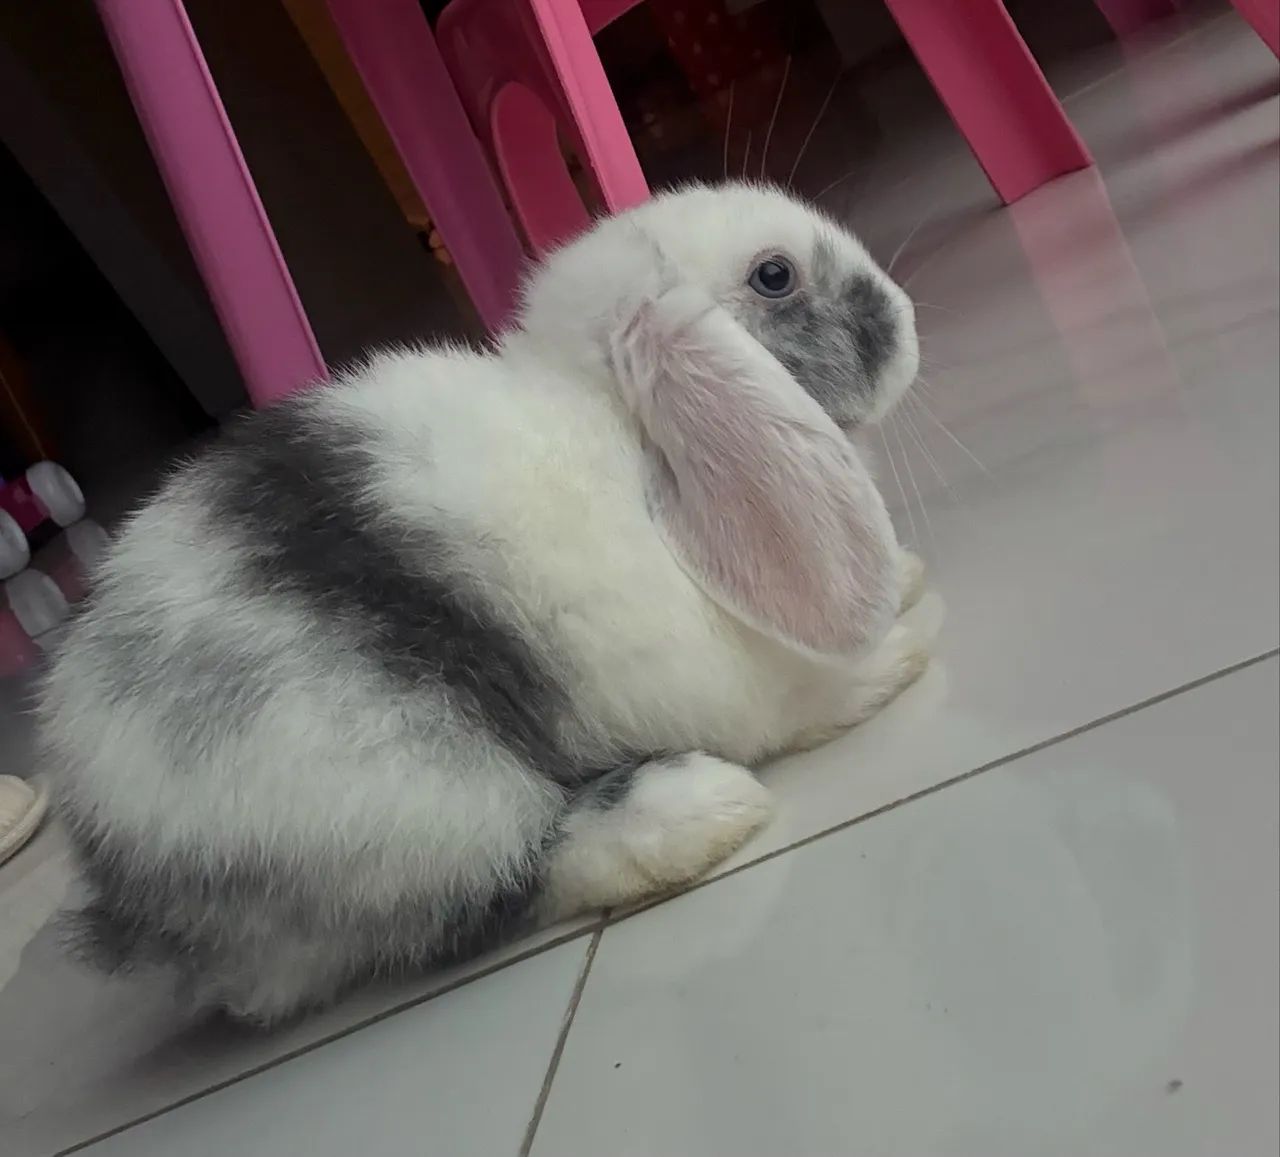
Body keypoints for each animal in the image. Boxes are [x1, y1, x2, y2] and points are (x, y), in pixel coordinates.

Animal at [37, 181, 930, 1025]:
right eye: (775, 276)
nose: (908, 318)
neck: (623, 429)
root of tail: (133, 886)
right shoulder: (741, 681)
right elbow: (818, 696)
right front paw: (905, 645)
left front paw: (912, 577)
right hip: (409, 796)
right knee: (497, 890)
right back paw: (700, 810)